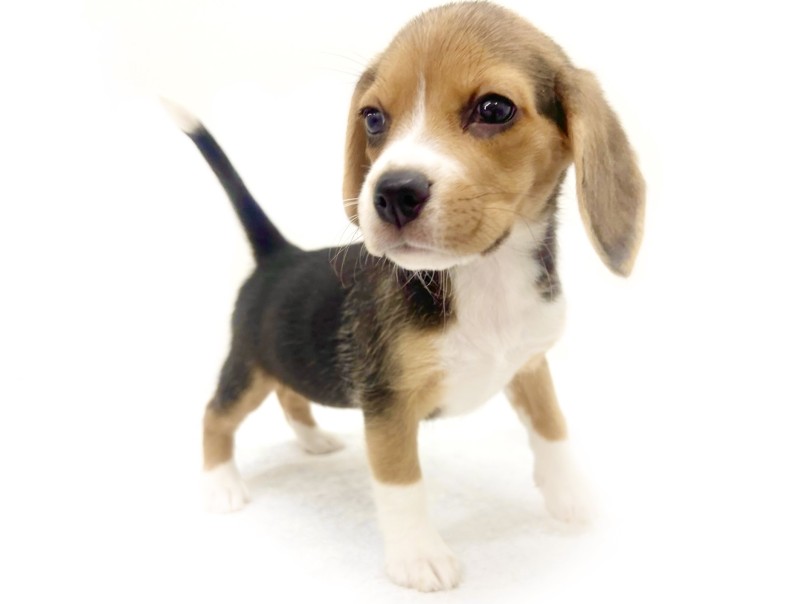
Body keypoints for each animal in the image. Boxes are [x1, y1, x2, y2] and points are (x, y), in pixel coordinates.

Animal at [167, 1, 644, 592]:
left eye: (494, 108)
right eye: (373, 118)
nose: (392, 193)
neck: (484, 275)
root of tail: (279, 255)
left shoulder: (530, 365)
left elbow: (553, 429)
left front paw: (571, 497)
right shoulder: (388, 404)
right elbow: (401, 483)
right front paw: (419, 556)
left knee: (290, 394)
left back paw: (312, 441)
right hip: (248, 367)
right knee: (215, 415)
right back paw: (221, 485)